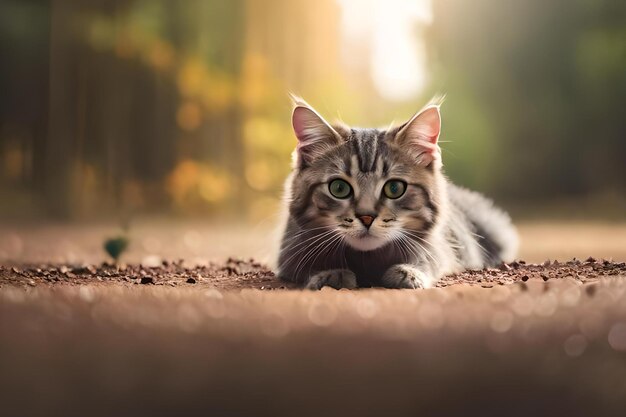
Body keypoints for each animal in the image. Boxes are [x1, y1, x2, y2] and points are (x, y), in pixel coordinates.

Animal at [276, 95, 516, 288]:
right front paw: (330, 273)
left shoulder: (442, 247)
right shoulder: (289, 251)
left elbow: (431, 259)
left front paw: (408, 272)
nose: (366, 217)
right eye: (339, 188)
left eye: (394, 188)